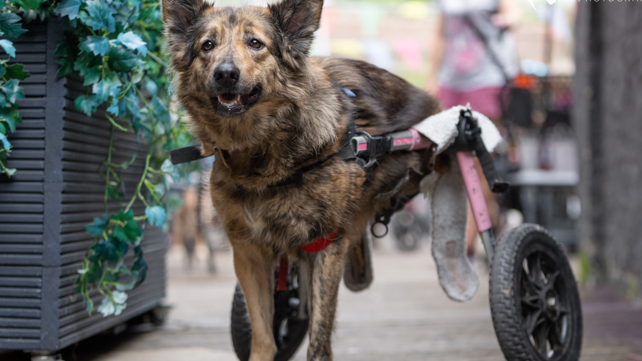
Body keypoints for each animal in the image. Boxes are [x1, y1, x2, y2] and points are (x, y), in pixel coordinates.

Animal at [160, 1, 440, 358]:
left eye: (256, 43)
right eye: (207, 45)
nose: (225, 74)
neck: (262, 156)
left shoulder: (325, 243)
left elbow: (319, 337)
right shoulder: (248, 252)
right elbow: (263, 334)